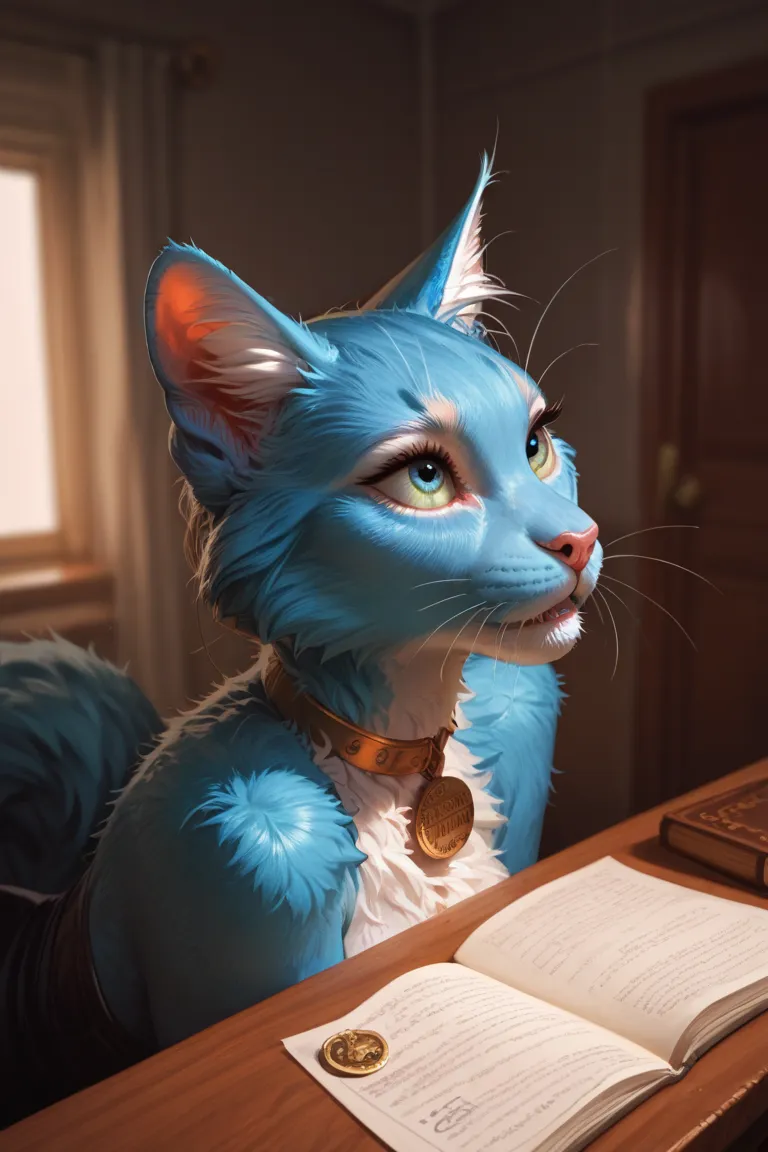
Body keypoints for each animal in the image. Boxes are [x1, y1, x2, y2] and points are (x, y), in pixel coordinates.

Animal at [0, 157, 598, 1119]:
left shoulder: (521, 715)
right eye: (423, 477)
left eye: (537, 443)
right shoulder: (247, 849)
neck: (392, 759)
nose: (580, 541)